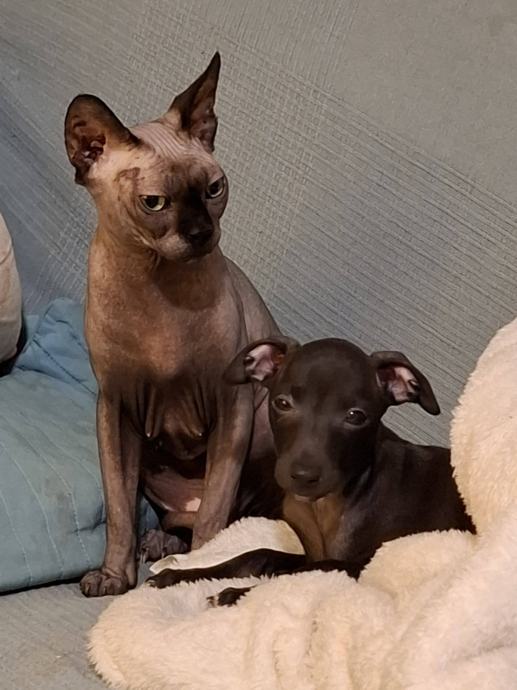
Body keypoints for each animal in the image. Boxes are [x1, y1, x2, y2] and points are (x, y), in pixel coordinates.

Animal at [64, 53, 280, 597]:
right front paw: (114, 577)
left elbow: (214, 522)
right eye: (154, 203)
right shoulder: (115, 409)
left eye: (214, 190)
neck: (156, 288)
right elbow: (120, 511)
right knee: (176, 520)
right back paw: (159, 542)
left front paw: (191, 578)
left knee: (229, 519)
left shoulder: (231, 407)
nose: (202, 233)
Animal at [148, 336, 474, 604]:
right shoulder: (308, 551)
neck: (328, 505)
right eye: (282, 403)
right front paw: (181, 576)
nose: (303, 476)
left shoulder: (361, 564)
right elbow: (256, 556)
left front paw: (238, 593)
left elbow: (304, 573)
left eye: (356, 416)